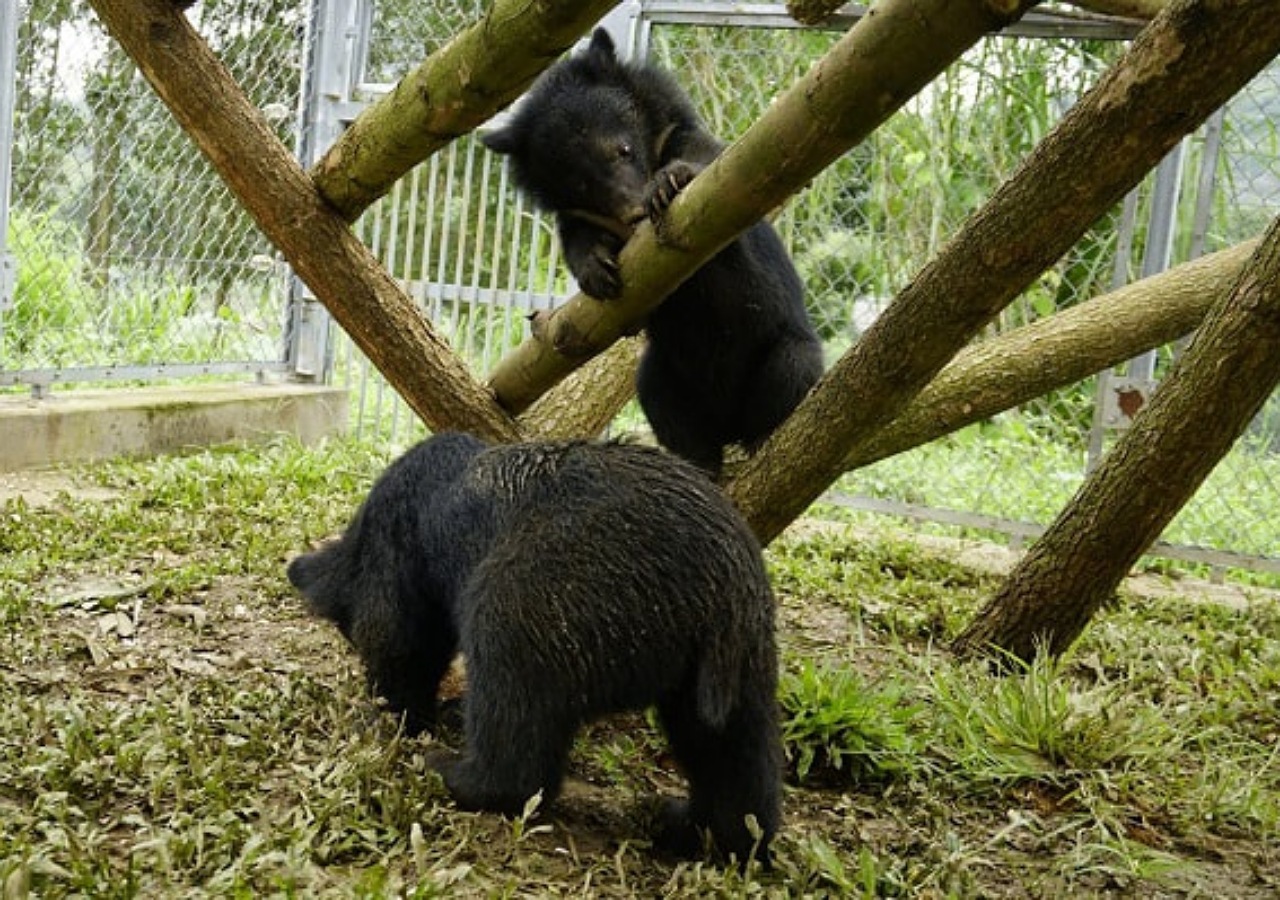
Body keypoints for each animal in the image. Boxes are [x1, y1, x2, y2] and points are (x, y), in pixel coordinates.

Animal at [287, 433, 783, 865]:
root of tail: (718, 589)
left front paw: (392, 714)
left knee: (510, 684)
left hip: (555, 587)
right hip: (740, 654)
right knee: (731, 750)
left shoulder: (402, 548)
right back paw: (698, 827)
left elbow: (399, 636)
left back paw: (454, 771)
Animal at [481, 28, 825, 477]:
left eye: (623, 150)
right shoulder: (582, 215)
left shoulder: (696, 153)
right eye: (580, 183)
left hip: (786, 351)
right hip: (665, 375)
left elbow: (704, 161)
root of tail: (727, 425)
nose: (635, 211)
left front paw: (668, 184)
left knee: (790, 371)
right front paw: (597, 271)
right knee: (665, 404)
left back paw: (761, 439)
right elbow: (578, 239)